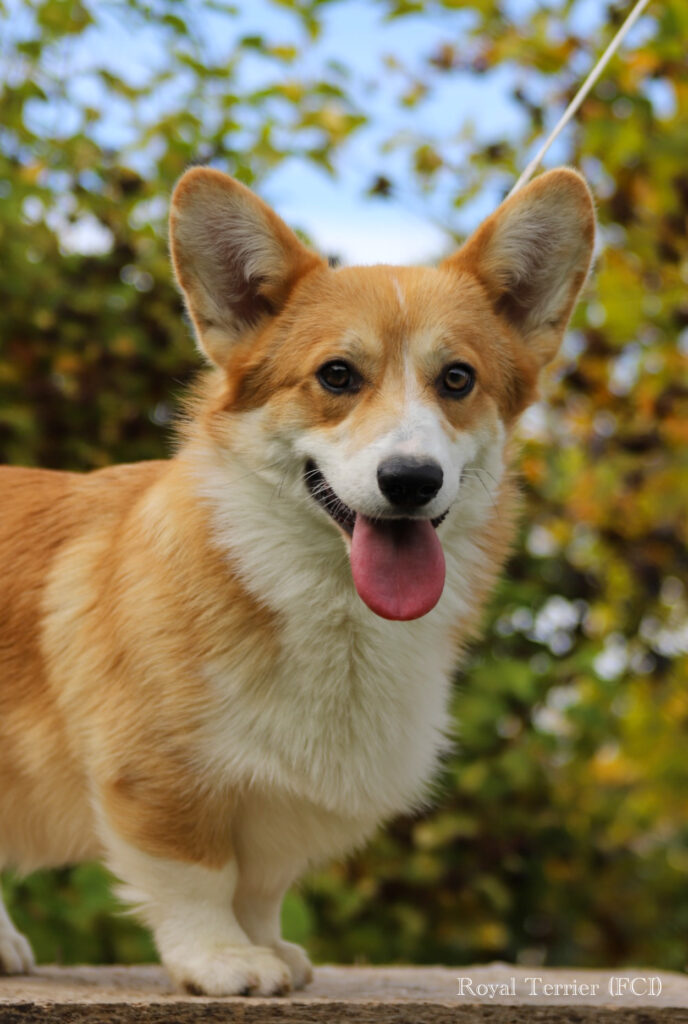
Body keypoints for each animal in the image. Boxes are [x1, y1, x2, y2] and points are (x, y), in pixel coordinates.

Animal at [0, 165, 589, 991]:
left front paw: (268, 948)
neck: (331, 608)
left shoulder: (284, 807)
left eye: (457, 379)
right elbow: (197, 877)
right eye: (336, 376)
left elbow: (259, 887)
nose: (411, 480)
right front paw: (223, 961)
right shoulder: (156, 777)